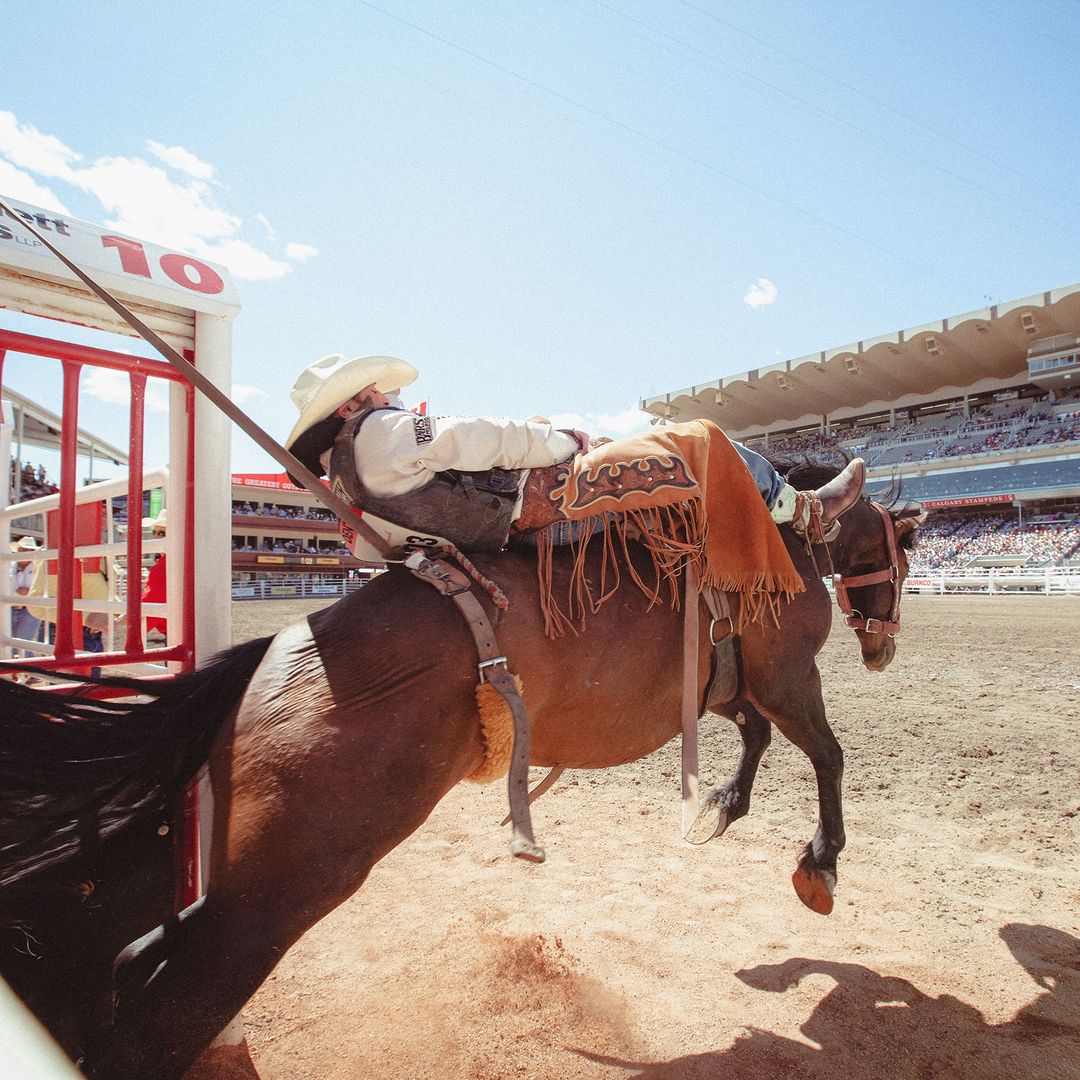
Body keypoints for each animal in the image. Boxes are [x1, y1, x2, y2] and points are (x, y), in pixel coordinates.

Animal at [0, 463, 924, 1079]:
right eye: (909, 558)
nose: (883, 646)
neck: (781, 540)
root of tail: (274, 657)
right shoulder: (786, 676)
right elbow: (827, 753)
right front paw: (819, 863)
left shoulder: (727, 687)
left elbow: (757, 738)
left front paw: (723, 807)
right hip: (284, 886)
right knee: (160, 1013)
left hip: (232, 871)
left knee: (133, 947)